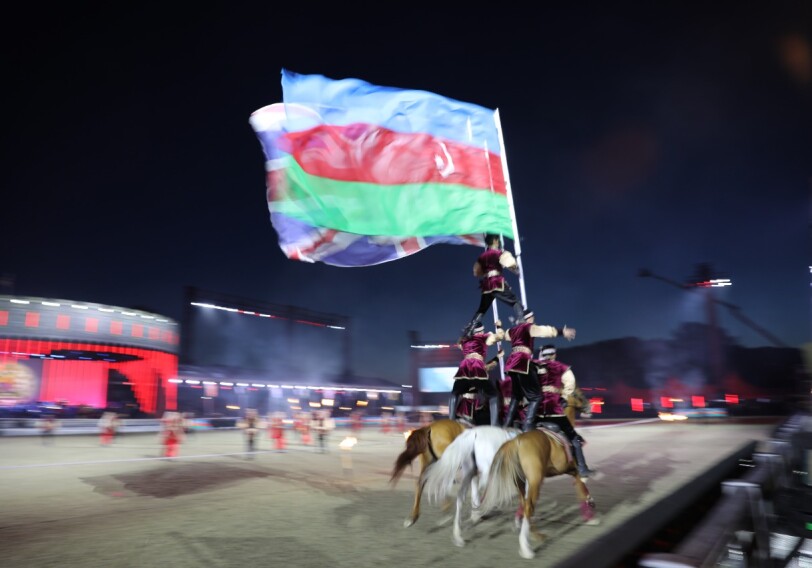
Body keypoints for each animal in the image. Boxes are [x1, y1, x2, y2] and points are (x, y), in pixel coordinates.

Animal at [476, 430, 596, 560]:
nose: (580, 439)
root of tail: (517, 441)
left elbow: (580, 485)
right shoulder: (572, 469)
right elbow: (581, 486)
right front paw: (590, 512)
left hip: (522, 482)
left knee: (526, 505)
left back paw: (535, 535)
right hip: (535, 480)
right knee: (529, 507)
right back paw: (526, 548)